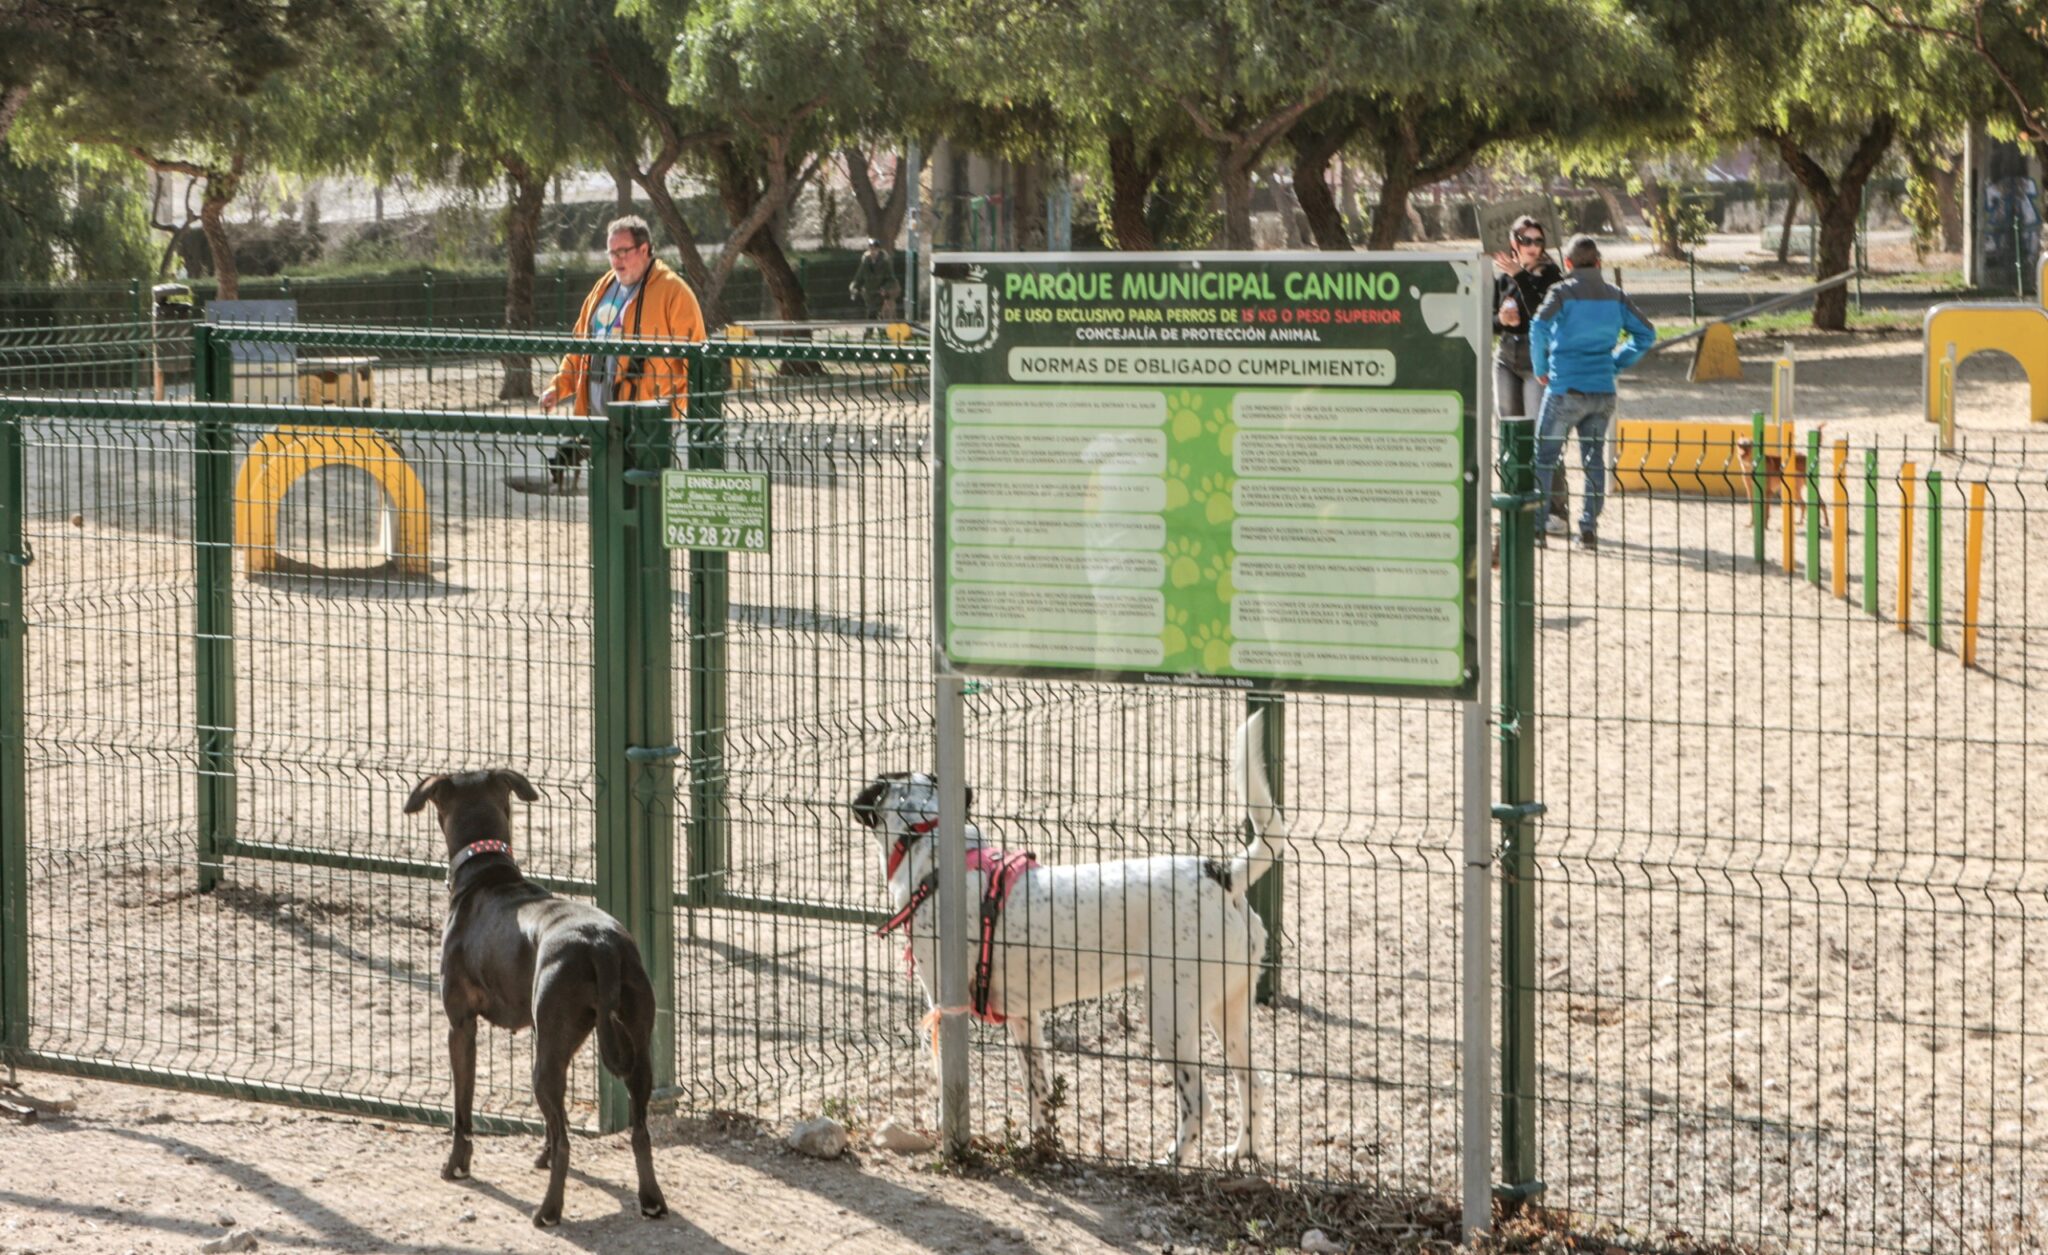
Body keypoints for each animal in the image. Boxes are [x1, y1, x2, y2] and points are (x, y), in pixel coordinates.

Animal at [406, 770, 667, 1228]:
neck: (487, 872)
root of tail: (600, 944)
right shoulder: (541, 1033)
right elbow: (551, 1123)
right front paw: (540, 1154)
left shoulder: (461, 1026)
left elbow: (462, 1109)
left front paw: (457, 1165)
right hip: (632, 1049)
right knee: (639, 1130)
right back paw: (651, 1200)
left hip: (546, 1063)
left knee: (567, 1142)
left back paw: (548, 1211)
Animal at [851, 712, 1283, 1165]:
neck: (926, 842)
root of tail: (1223, 874)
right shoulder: (1024, 1017)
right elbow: (1037, 1089)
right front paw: (1039, 1143)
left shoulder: (943, 1007)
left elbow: (945, 1086)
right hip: (1228, 1010)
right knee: (1253, 1081)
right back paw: (1243, 1151)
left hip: (1171, 1015)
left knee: (1199, 1100)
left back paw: (1173, 1160)